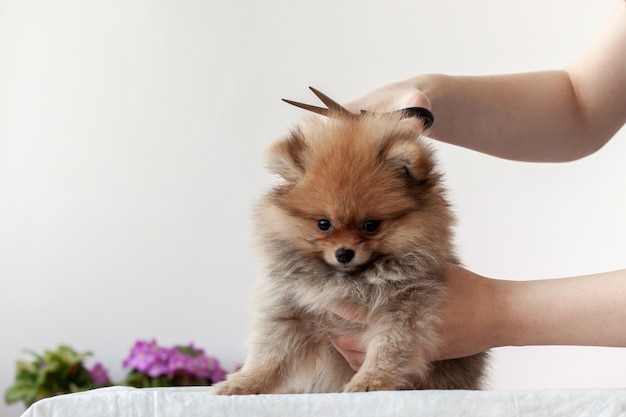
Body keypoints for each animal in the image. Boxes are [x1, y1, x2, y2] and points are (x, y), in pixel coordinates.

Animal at [214, 89, 488, 392]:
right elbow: (269, 356)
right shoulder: (290, 312)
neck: (347, 281)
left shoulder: (403, 310)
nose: (344, 253)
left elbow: (388, 350)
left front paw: (369, 382)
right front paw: (245, 383)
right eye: (324, 224)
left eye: (370, 226)